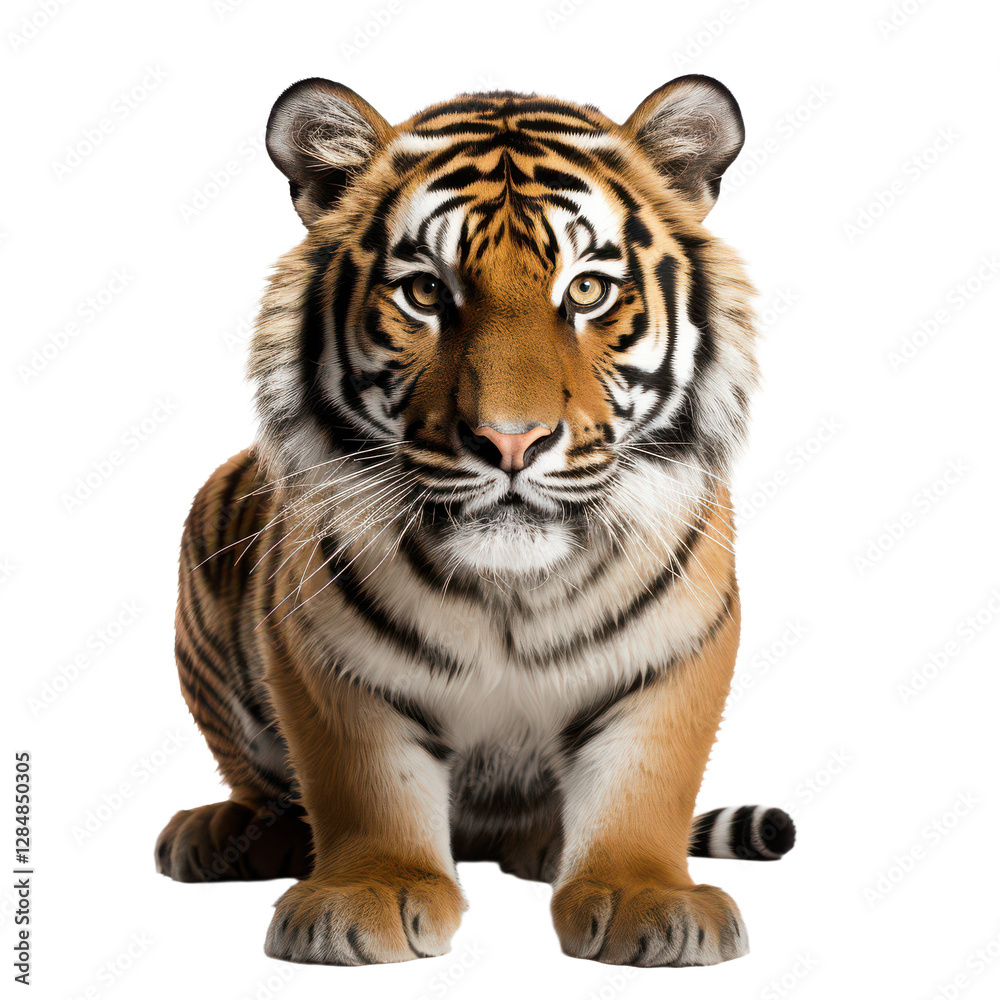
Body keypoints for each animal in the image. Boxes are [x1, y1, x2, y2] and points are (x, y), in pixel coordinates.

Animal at [155, 74, 796, 968]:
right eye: (426, 292)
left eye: (588, 290)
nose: (511, 440)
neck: (512, 589)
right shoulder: (328, 657)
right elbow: (363, 782)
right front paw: (368, 895)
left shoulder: (675, 652)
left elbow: (647, 779)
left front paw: (648, 899)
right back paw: (224, 835)